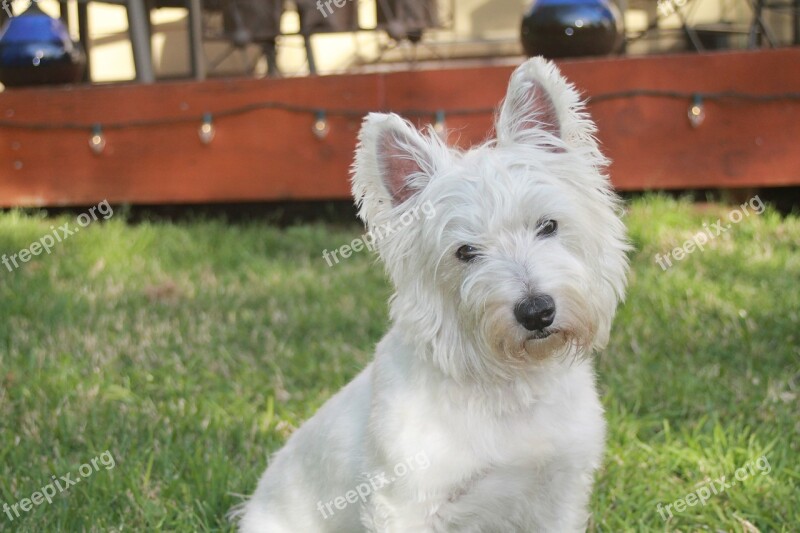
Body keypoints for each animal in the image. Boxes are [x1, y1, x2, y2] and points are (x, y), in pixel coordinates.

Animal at [239, 58, 632, 532]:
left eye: (548, 225)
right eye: (466, 252)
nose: (536, 311)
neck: (510, 388)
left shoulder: (560, 490)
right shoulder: (405, 501)